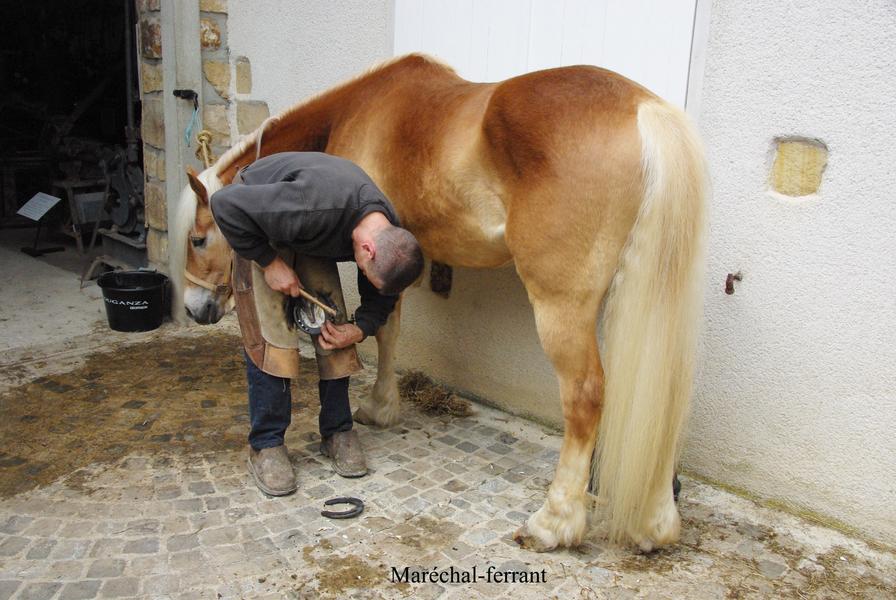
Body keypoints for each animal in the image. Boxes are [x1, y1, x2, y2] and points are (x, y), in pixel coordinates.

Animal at [170, 54, 708, 552]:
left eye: (198, 239)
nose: (195, 308)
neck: (359, 109)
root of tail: (644, 111)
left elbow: (386, 332)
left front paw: (379, 407)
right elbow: (388, 325)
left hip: (562, 306)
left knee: (585, 397)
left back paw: (553, 522)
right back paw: (655, 523)